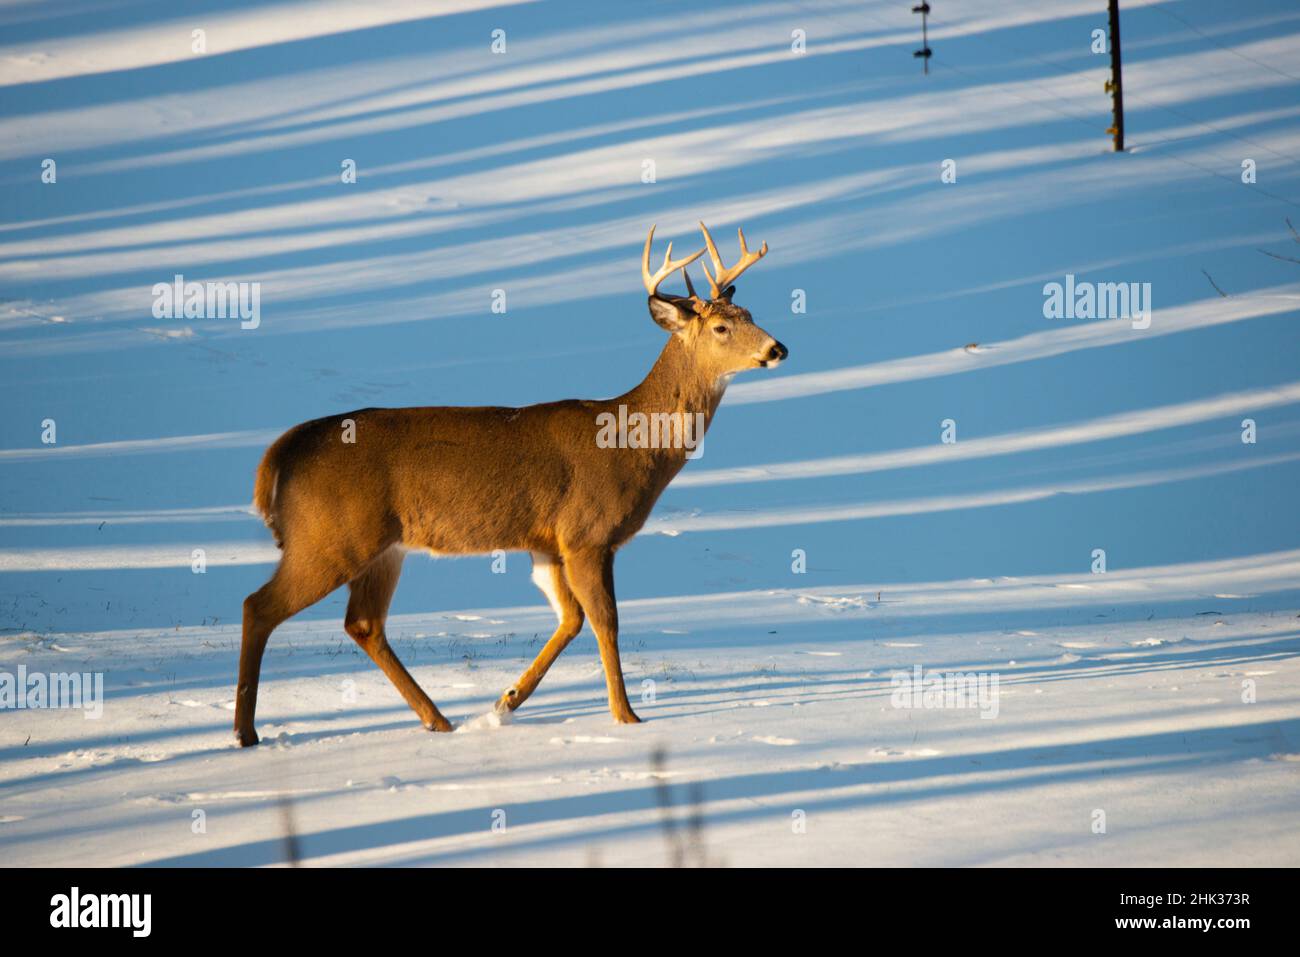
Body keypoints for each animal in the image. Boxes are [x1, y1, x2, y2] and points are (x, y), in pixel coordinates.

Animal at [232, 221, 780, 743]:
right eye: (721, 326)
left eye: (752, 313)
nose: (779, 348)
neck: (631, 444)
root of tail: (281, 452)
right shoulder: (587, 534)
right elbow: (606, 622)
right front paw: (627, 717)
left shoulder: (548, 544)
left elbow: (570, 619)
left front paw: (505, 701)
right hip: (331, 536)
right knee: (258, 605)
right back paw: (245, 731)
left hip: (382, 548)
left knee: (363, 623)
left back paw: (438, 720)